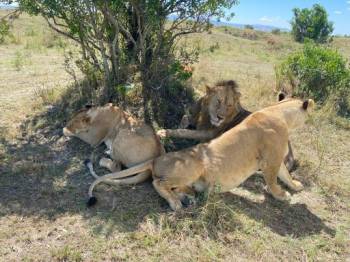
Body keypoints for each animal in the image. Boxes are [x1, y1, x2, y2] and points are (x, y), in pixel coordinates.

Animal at [87, 97, 314, 210]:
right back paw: (176, 203)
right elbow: (274, 179)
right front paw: (281, 195)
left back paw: (188, 198)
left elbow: (286, 175)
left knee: (177, 187)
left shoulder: (278, 157)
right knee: (157, 183)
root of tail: (156, 158)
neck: (279, 112)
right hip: (194, 166)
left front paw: (295, 186)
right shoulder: (271, 159)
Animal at [158, 81, 296, 171]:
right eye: (218, 101)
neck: (206, 115)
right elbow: (185, 118)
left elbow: (186, 132)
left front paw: (164, 132)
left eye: (229, 105)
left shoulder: (208, 134)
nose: (220, 117)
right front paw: (177, 126)